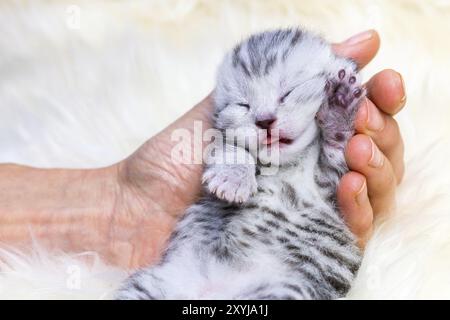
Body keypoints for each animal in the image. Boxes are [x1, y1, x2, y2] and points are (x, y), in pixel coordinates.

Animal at [117, 28, 366, 300]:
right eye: (243, 104)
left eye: (288, 92)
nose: (265, 120)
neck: (287, 166)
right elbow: (232, 148)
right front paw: (232, 180)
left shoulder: (331, 186)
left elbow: (338, 148)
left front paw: (339, 104)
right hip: (156, 283)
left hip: (282, 291)